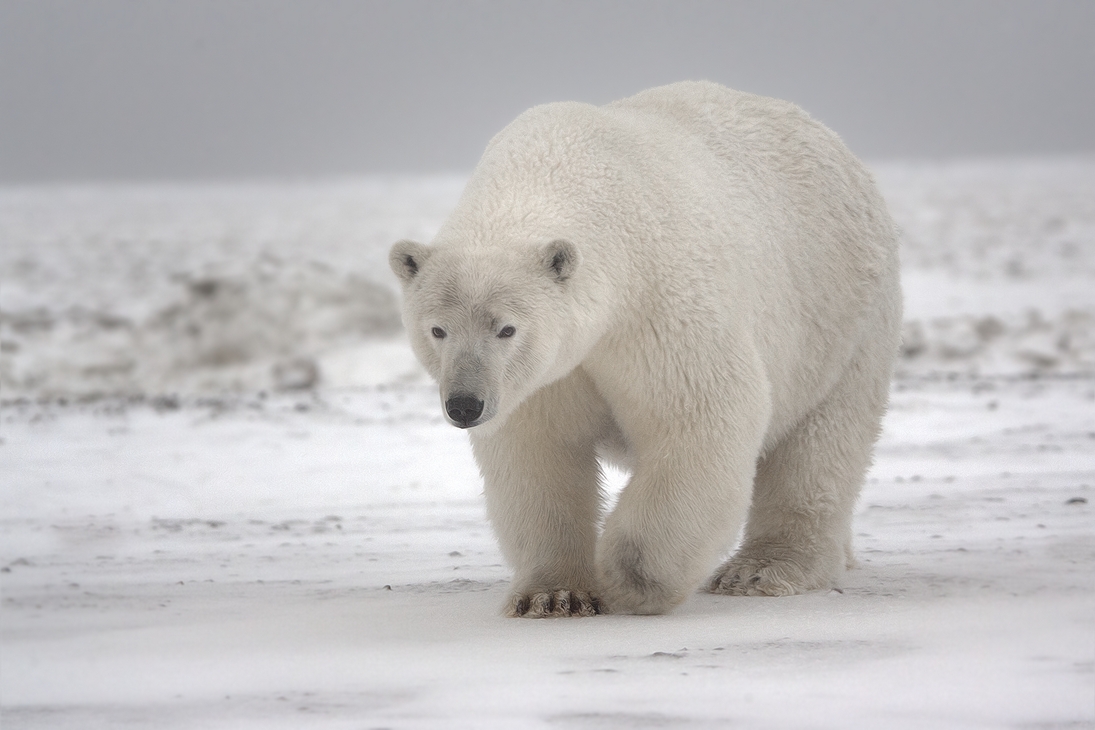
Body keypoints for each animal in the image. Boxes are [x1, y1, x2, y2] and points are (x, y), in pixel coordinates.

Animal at [389, 81, 902, 617]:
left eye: (506, 329)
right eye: (437, 330)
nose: (465, 405)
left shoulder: (657, 303)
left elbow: (702, 413)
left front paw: (629, 578)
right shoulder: (541, 378)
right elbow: (538, 453)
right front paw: (553, 596)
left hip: (841, 322)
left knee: (819, 446)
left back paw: (760, 569)